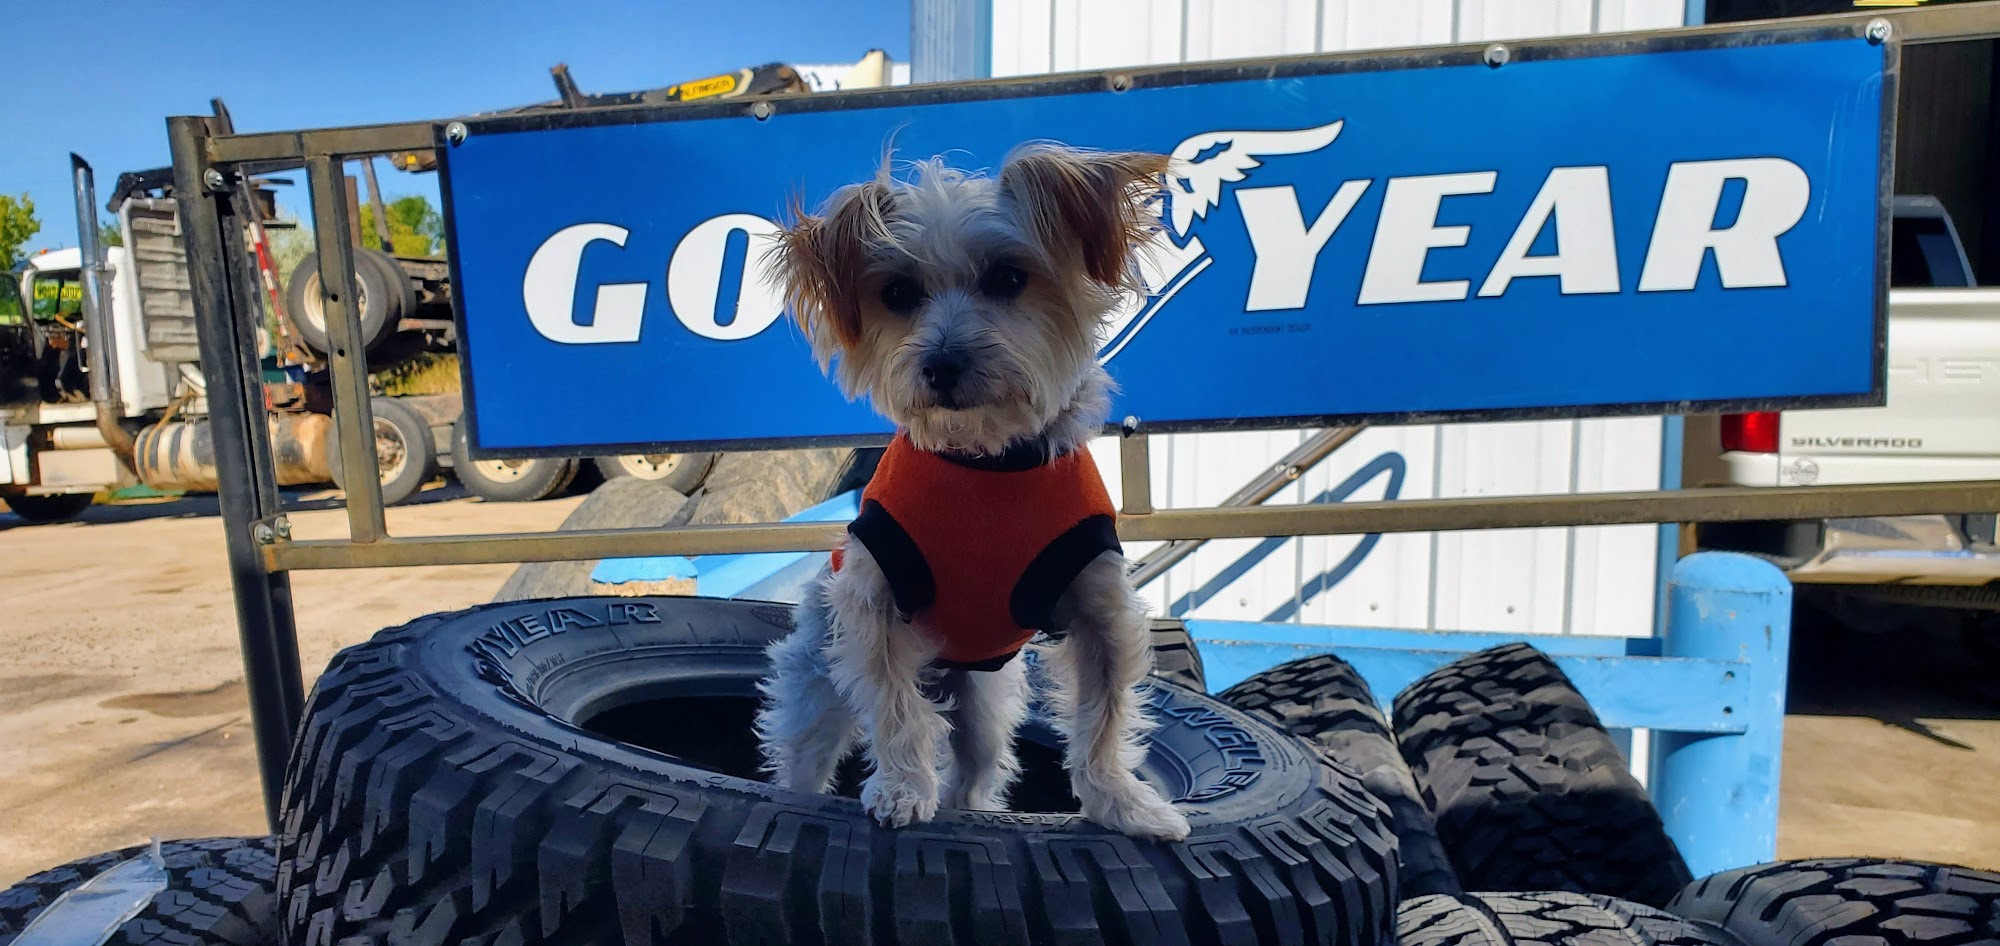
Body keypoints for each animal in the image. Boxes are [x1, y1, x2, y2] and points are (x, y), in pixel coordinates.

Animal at [751, 141, 1191, 841]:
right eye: (897, 293)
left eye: (1008, 278)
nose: (941, 364)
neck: (988, 463)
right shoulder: (874, 596)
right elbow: (896, 705)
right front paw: (902, 787)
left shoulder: (1100, 607)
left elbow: (1105, 716)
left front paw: (1123, 803)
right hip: (816, 677)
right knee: (806, 754)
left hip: (984, 701)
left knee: (976, 766)